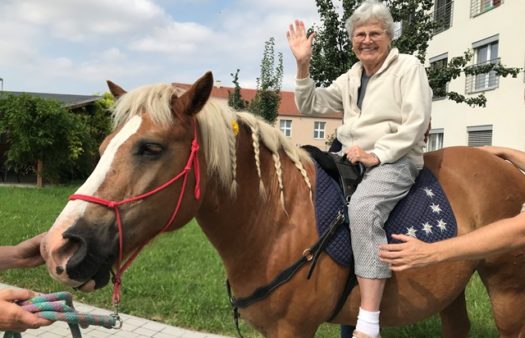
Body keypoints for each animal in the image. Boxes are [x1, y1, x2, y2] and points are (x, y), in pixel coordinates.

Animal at [41, 72, 524, 336]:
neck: (277, 220)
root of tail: (500, 158)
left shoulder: (294, 329)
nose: (58, 247)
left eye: (150, 148)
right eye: (102, 146)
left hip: (506, 289)